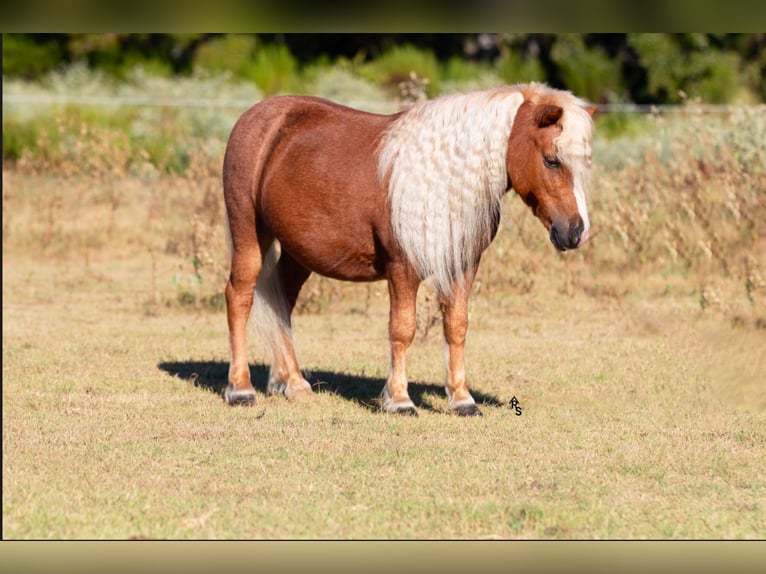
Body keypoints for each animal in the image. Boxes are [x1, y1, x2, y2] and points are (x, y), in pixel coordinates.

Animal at [222, 82, 600, 418]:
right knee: (240, 296)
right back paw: (241, 389)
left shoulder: (464, 266)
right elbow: (403, 329)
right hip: (249, 233)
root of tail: (258, 116)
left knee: (281, 303)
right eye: (551, 160)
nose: (576, 232)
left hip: (298, 253)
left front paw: (462, 399)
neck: (441, 180)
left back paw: (293, 383)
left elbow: (456, 326)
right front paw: (400, 400)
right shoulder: (403, 269)